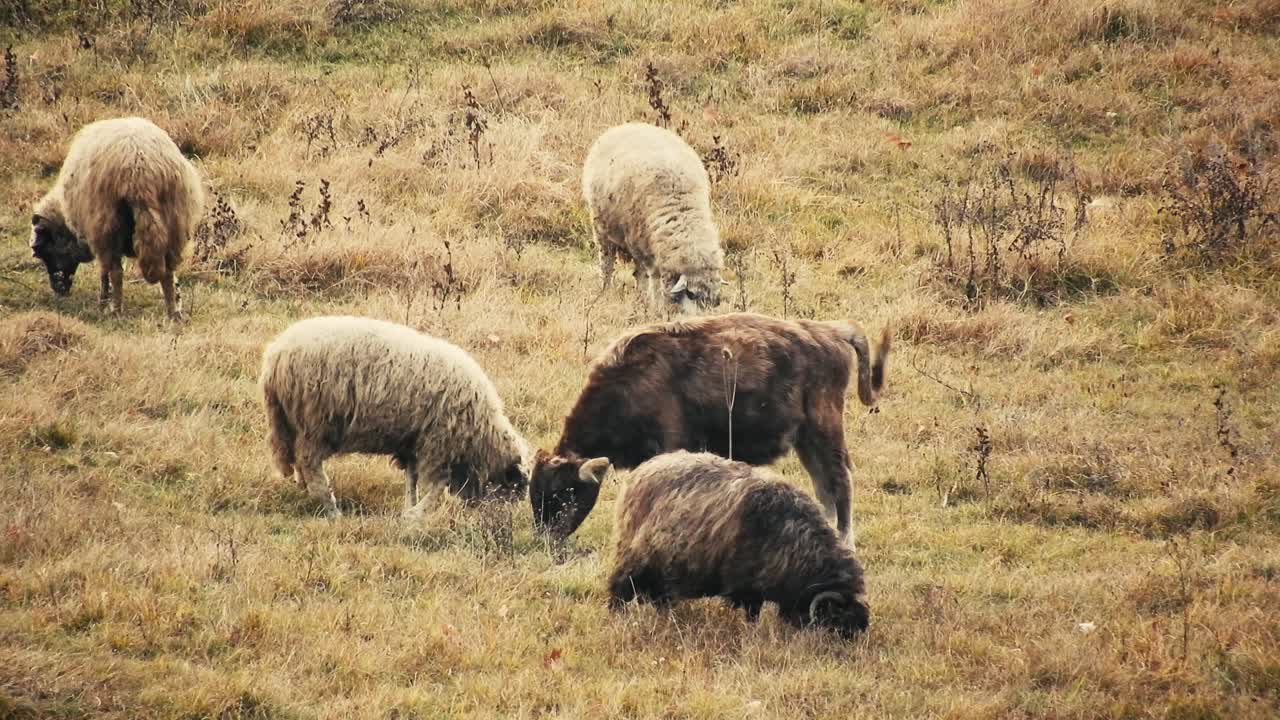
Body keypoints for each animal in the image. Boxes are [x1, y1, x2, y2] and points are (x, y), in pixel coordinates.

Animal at [30, 117, 205, 321]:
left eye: (43, 251)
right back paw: (173, 314)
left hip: (107, 225)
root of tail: (140, 170)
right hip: (175, 222)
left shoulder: (95, 235)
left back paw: (116, 310)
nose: (59, 291)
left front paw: (102, 302)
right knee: (168, 273)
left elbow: (104, 272)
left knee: (116, 272)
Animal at [259, 316, 528, 518]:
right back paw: (333, 511)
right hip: (315, 424)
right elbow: (436, 486)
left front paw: (409, 509)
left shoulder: (413, 442)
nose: (498, 523)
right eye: (512, 488)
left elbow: (411, 479)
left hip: (293, 424)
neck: (482, 432)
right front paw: (417, 516)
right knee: (310, 466)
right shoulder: (438, 444)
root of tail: (275, 357)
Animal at [531, 312, 890, 540]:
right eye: (536, 493)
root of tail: (831, 332)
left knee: (839, 485)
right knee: (825, 488)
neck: (631, 381)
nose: (547, 538)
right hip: (806, 442)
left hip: (823, 431)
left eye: (563, 493)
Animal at [583, 122, 725, 313]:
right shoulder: (641, 244)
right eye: (691, 294)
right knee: (607, 262)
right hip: (601, 227)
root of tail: (628, 125)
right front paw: (653, 302)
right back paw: (606, 289)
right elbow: (649, 276)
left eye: (714, 301)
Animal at [608, 451, 869, 638]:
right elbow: (752, 612)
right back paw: (617, 615)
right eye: (837, 620)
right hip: (635, 558)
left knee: (659, 598)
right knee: (619, 587)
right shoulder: (747, 585)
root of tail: (640, 473)